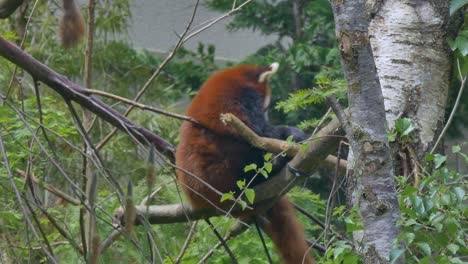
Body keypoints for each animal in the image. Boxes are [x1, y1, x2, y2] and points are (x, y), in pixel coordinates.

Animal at [176, 63, 314, 262]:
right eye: (266, 107)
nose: (268, 113)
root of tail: (197, 198)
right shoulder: (238, 100)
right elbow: (259, 132)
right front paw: (292, 133)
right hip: (222, 170)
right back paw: (277, 165)